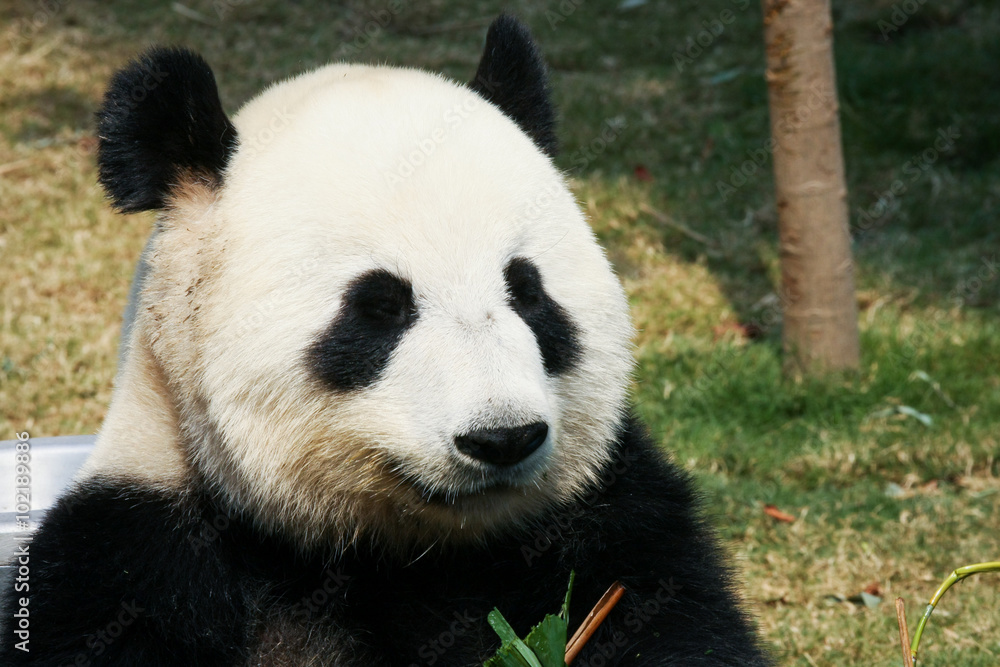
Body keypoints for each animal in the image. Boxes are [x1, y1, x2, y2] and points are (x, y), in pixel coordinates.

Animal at [0, 15, 768, 667]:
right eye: (379, 307)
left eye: (527, 292)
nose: (501, 438)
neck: (400, 550)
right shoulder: (139, 550)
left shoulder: (611, 517)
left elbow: (672, 621)